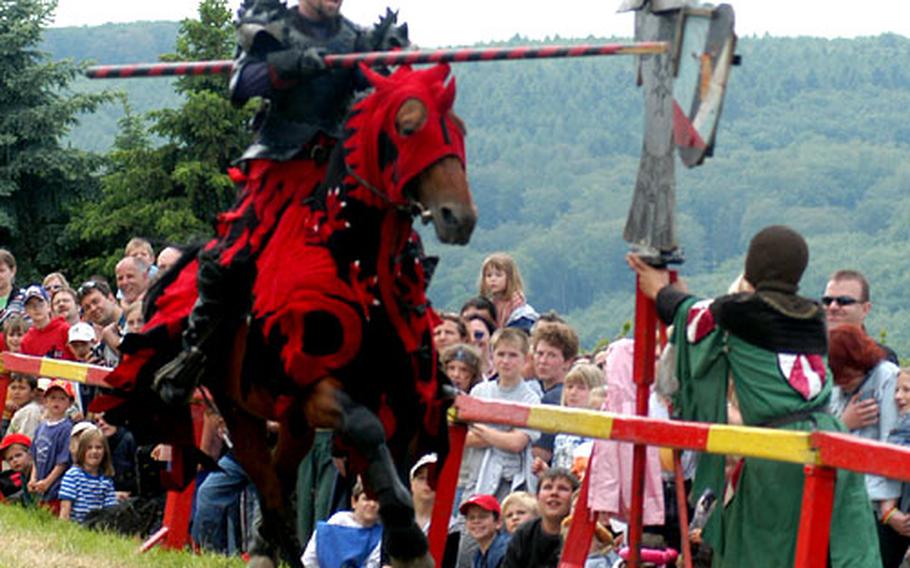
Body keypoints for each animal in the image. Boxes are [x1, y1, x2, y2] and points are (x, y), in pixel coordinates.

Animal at [96, 64, 474, 564]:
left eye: (459, 131)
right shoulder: (316, 389)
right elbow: (366, 433)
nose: (458, 216)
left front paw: (402, 540)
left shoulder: (405, 402)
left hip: (289, 420)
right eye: (408, 127)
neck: (355, 270)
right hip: (242, 410)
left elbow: (393, 467)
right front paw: (409, 542)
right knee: (271, 484)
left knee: (279, 475)